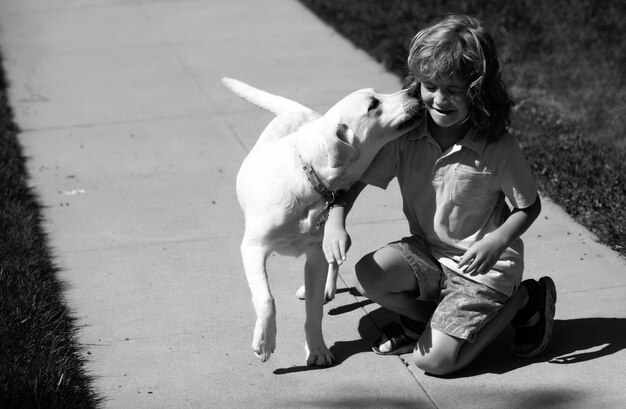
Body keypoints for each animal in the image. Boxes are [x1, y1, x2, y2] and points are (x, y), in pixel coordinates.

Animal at [222, 77, 422, 366]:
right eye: (373, 104)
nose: (416, 88)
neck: (310, 180)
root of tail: (301, 111)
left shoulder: (316, 252)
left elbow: (314, 311)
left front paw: (317, 348)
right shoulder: (252, 248)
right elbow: (266, 298)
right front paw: (265, 341)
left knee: (334, 260)